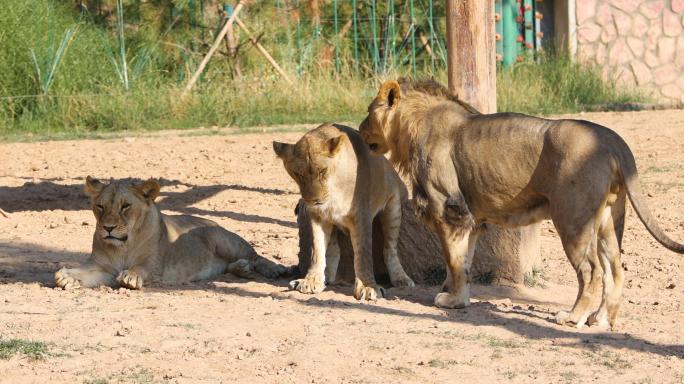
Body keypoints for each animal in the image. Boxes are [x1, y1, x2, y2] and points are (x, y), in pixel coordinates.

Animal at [54, 176, 288, 288]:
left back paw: (274, 269)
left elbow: (140, 268)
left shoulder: (154, 266)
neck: (123, 245)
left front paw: (131, 276)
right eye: (100, 207)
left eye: (125, 206)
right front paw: (66, 277)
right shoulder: (103, 268)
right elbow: (83, 272)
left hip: (226, 241)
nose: (108, 228)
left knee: (256, 255)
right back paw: (242, 268)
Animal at [272, 123, 412, 300]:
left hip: (393, 207)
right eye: (298, 174)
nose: (314, 200)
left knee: (390, 249)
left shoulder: (362, 216)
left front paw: (368, 287)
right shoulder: (318, 216)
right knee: (334, 249)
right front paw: (311, 280)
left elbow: (363, 255)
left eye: (323, 171)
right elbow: (317, 251)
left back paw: (401, 278)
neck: (334, 190)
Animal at [360, 79, 680, 330]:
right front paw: (457, 298)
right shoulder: (470, 220)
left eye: (367, 113)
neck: (411, 129)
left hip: (572, 220)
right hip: (608, 220)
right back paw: (601, 320)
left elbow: (454, 261)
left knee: (591, 271)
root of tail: (612, 138)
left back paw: (572, 317)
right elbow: (463, 262)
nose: (360, 130)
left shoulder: (450, 211)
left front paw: (451, 300)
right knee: (614, 270)